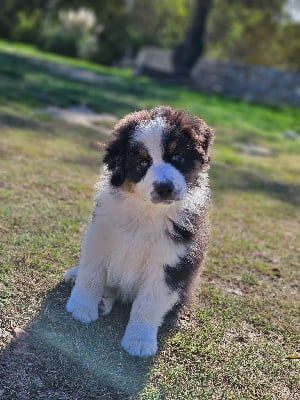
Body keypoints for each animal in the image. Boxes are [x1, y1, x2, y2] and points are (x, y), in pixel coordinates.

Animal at [64, 105, 214, 356]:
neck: (146, 211)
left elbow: (149, 304)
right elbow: (91, 275)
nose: (164, 188)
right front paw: (81, 307)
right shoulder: (101, 234)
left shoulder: (171, 262)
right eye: (142, 163)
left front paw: (139, 341)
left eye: (178, 157)